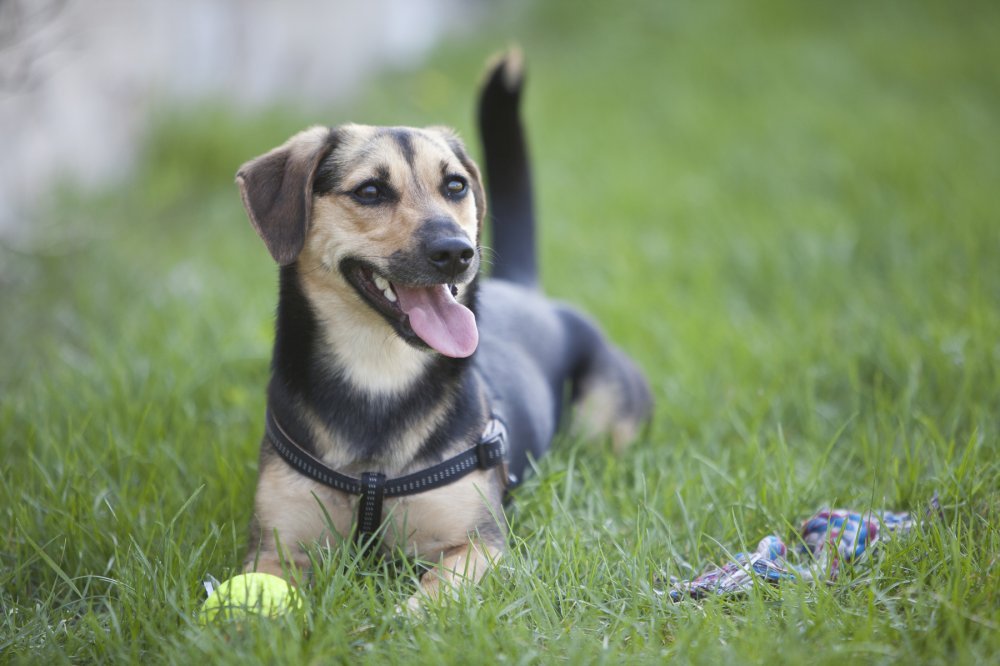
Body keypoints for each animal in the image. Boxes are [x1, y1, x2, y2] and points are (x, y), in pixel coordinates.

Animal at [235, 53, 656, 608]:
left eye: (455, 185)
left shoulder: (479, 544)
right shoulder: (275, 547)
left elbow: (425, 601)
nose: (458, 252)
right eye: (370, 191)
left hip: (601, 421)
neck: (379, 374)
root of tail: (524, 288)